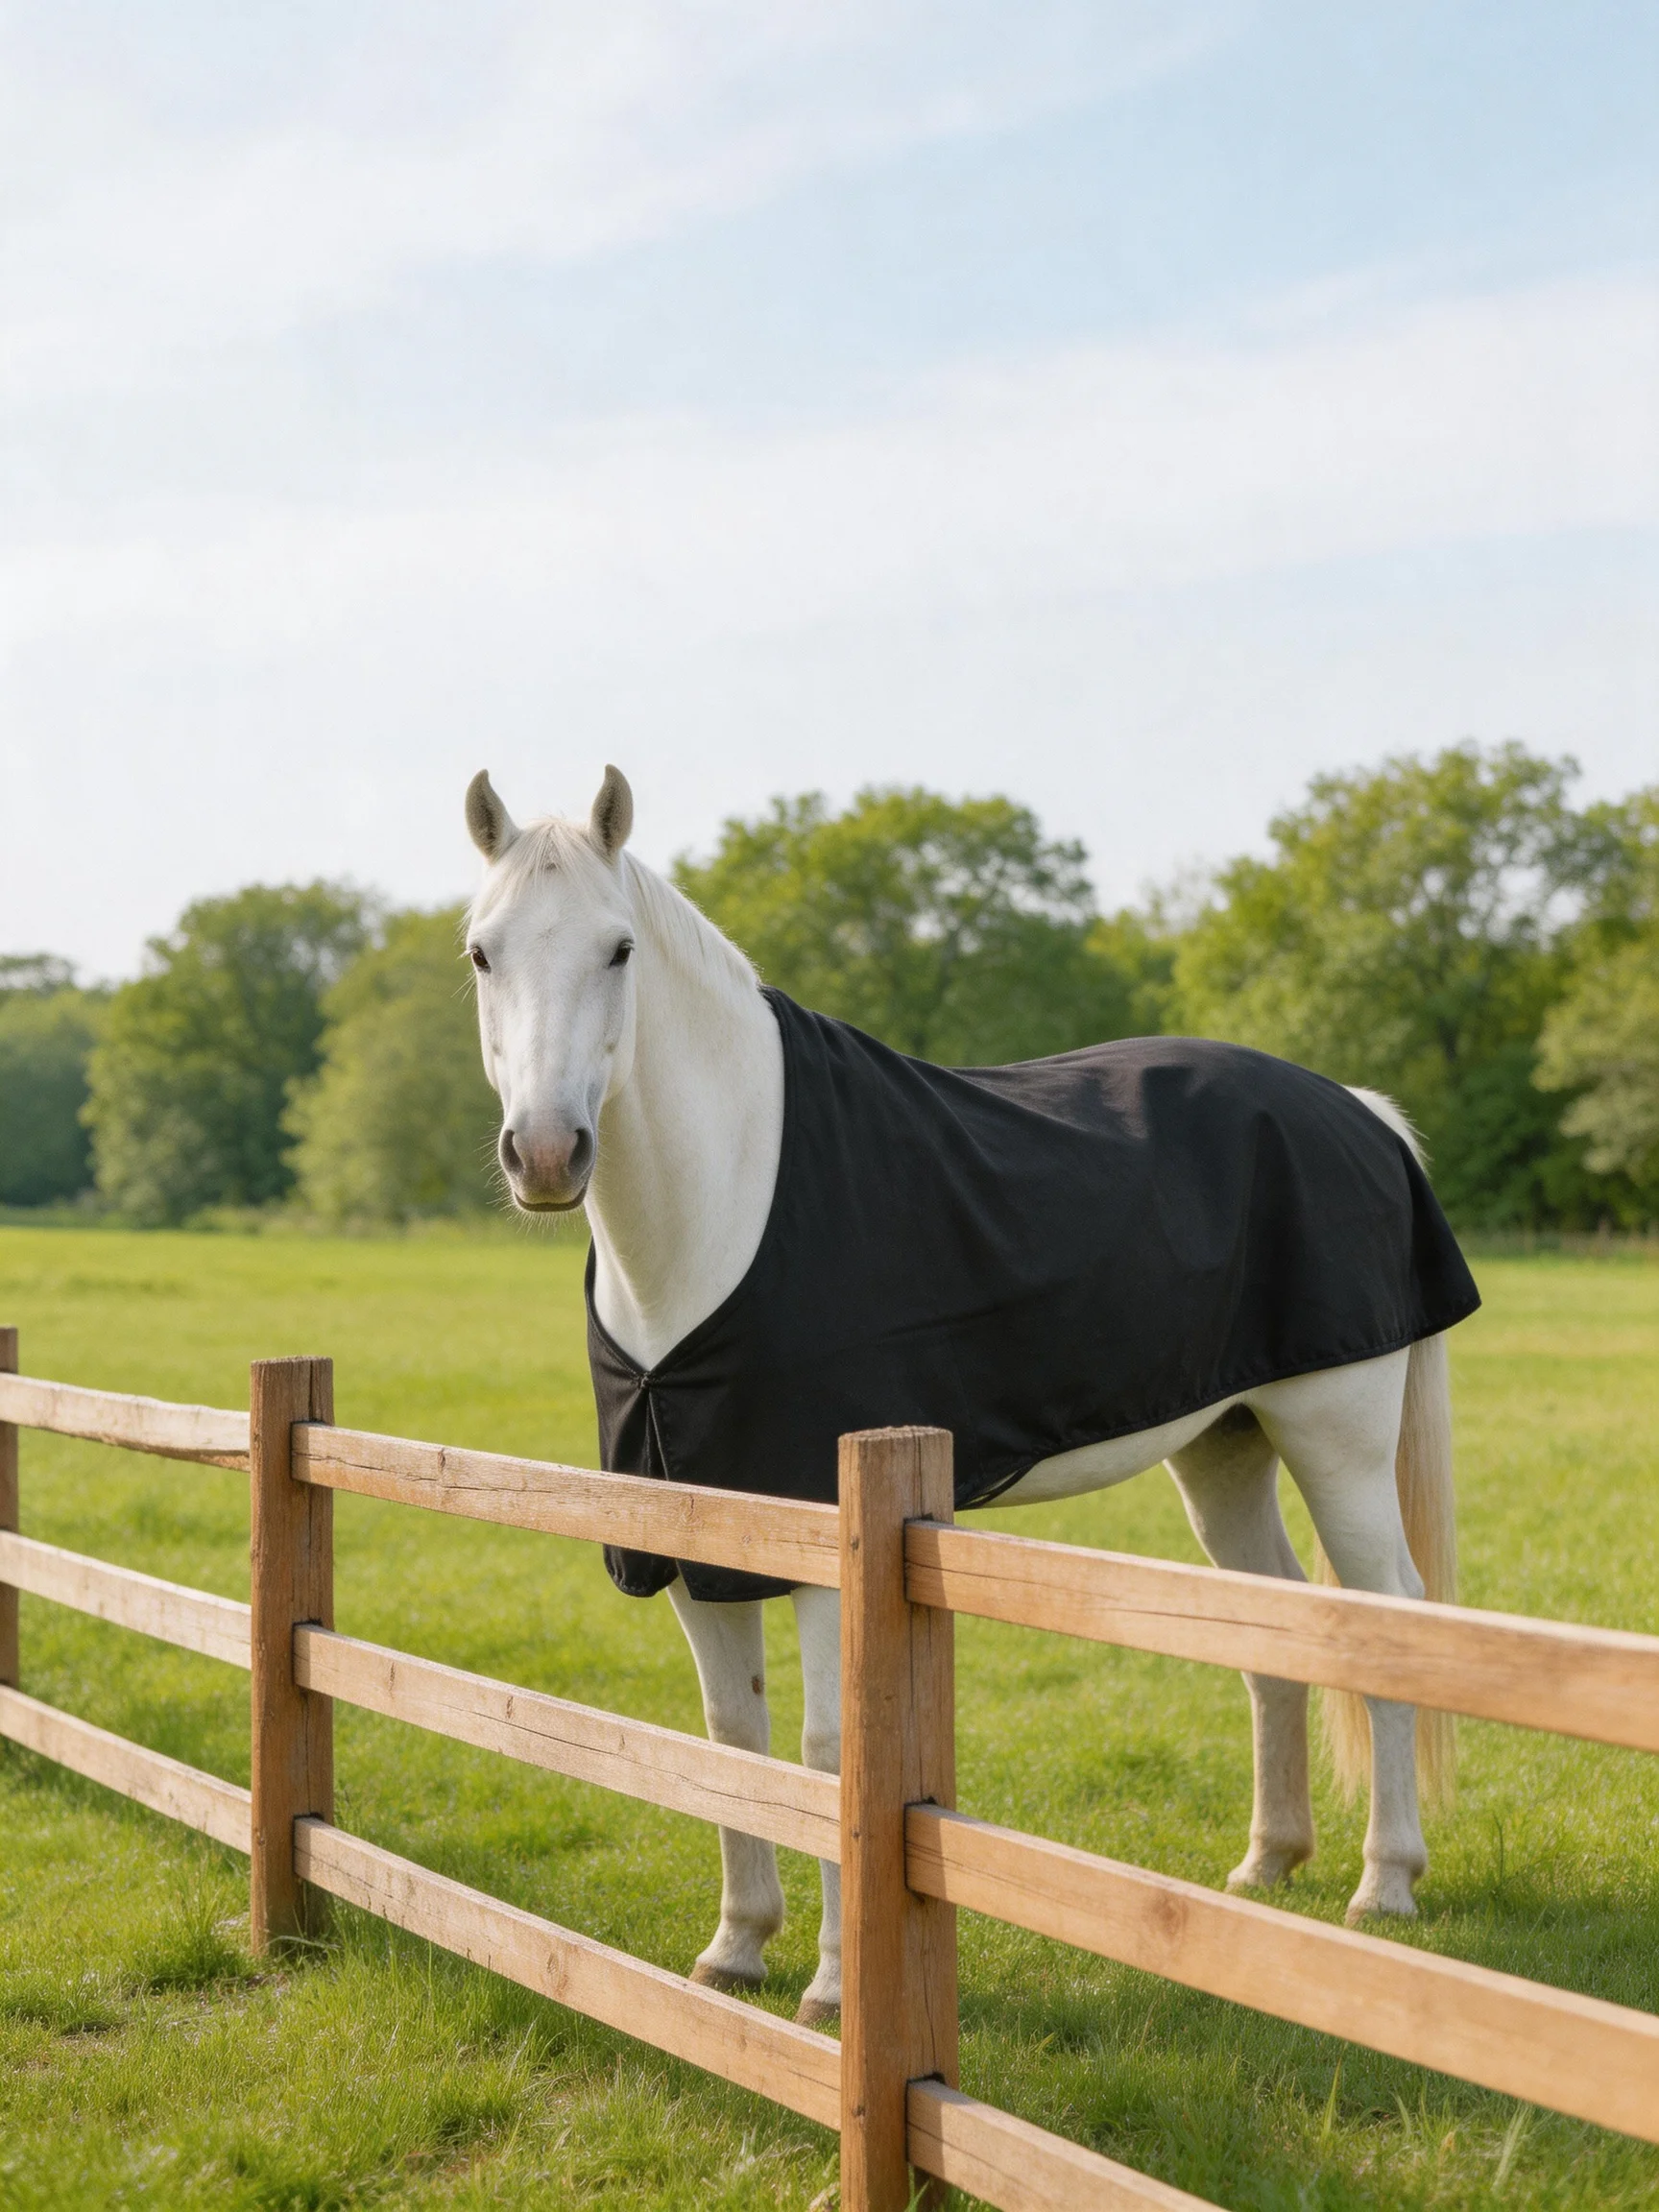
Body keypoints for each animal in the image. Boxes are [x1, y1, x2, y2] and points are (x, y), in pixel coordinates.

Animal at [462, 764, 1464, 2028]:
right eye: (483, 952)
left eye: (619, 948)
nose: (547, 1156)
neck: (727, 1210)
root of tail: (1359, 1113)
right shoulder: (693, 1540)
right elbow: (730, 1738)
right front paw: (736, 1948)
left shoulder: (825, 1548)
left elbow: (825, 1746)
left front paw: (833, 1986)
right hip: (1225, 1445)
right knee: (1273, 1622)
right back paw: (1268, 1863)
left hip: (1335, 1436)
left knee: (1390, 1621)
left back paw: (1388, 1884)